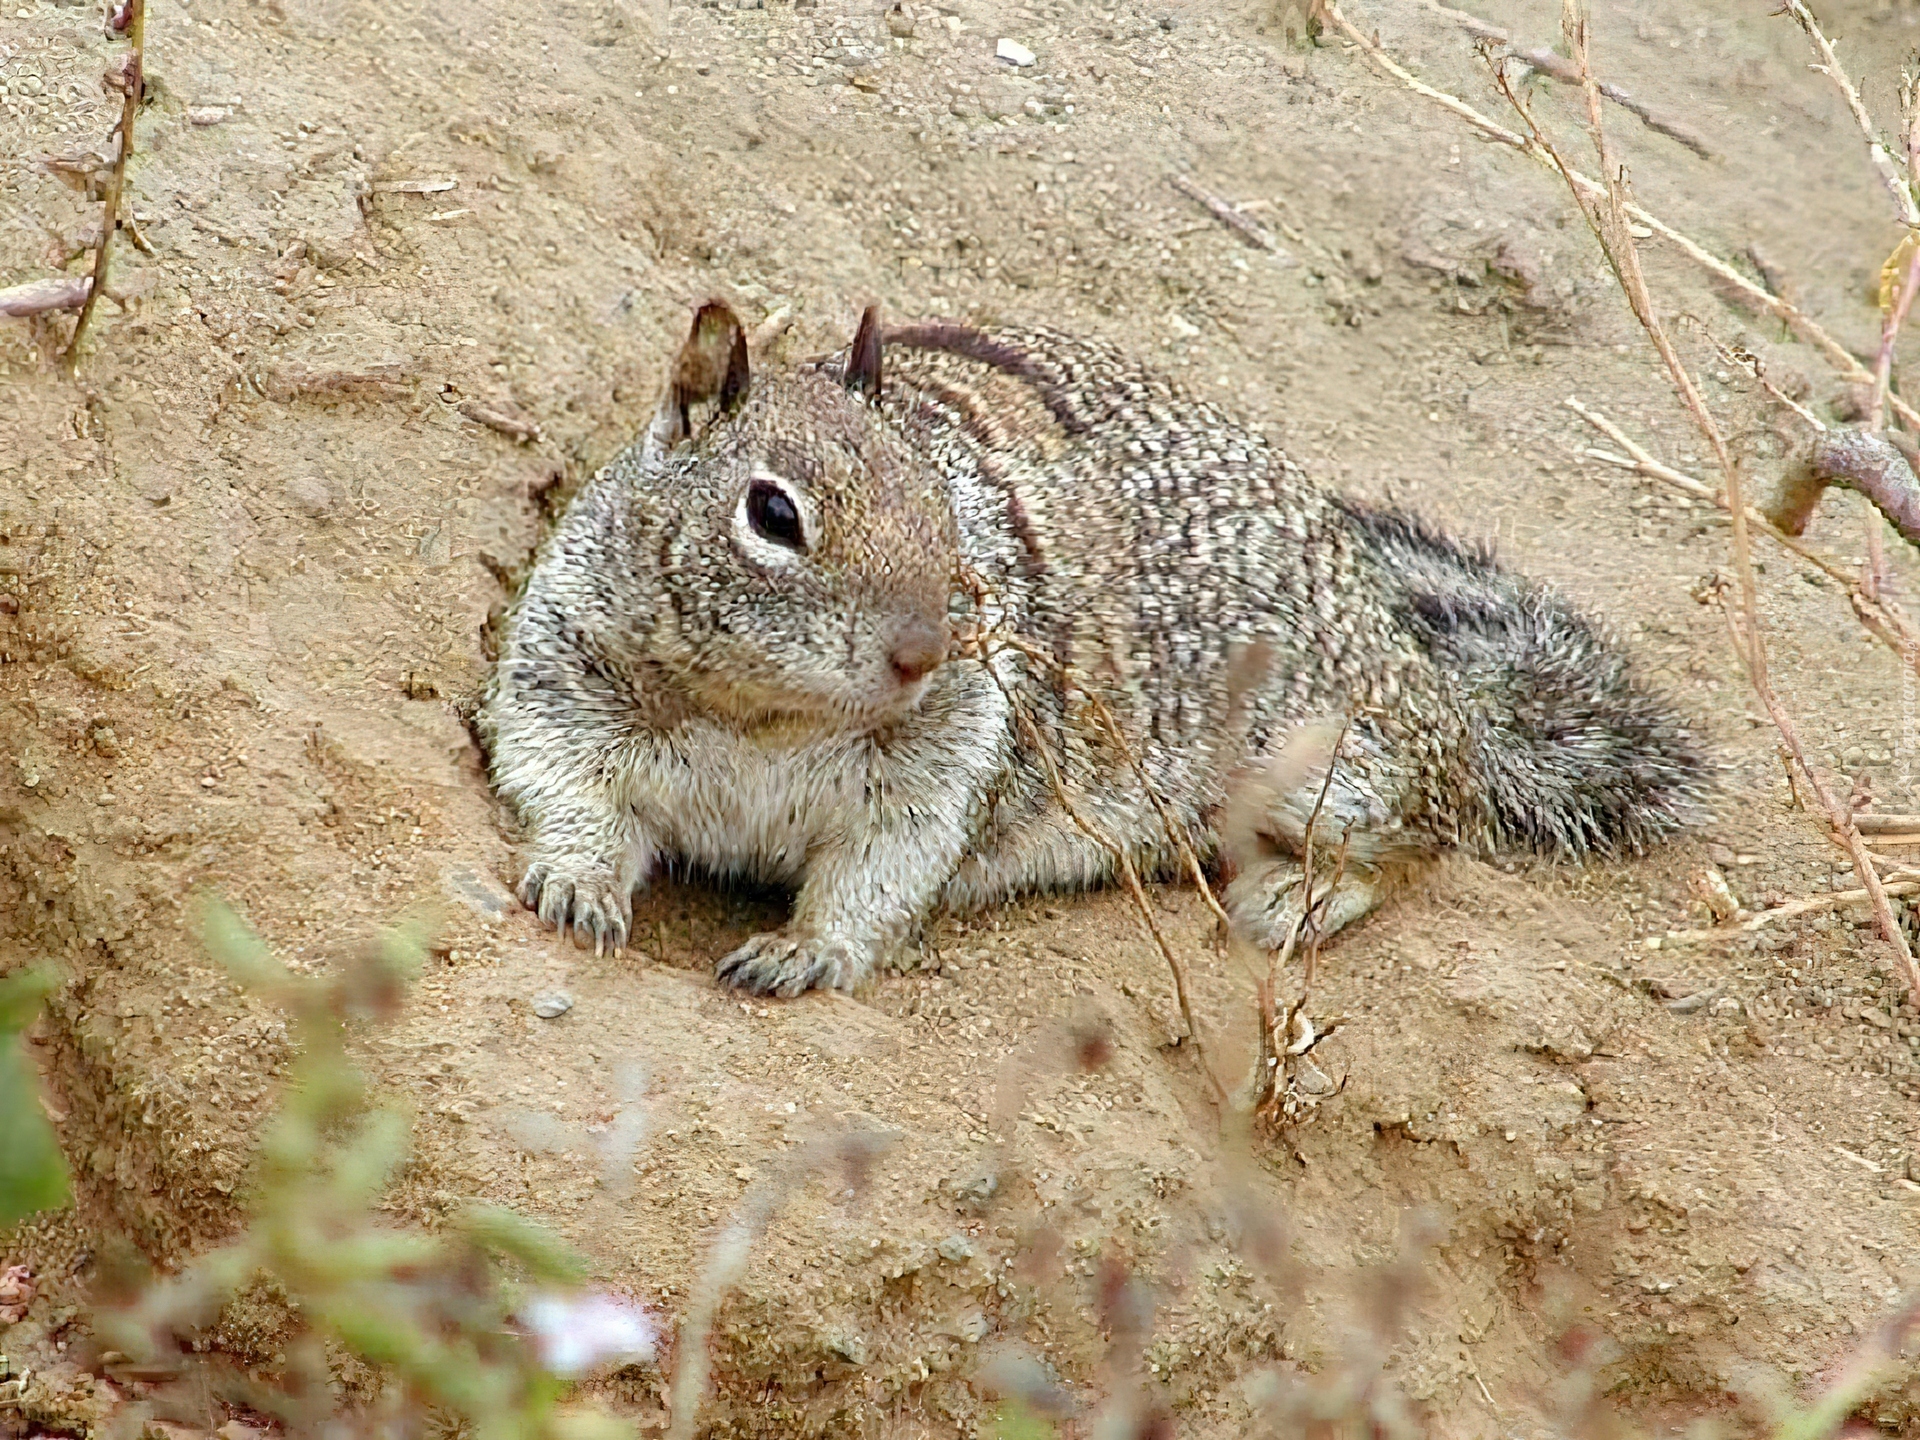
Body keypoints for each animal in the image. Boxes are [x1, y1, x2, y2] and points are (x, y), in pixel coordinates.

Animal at [483, 299, 1712, 998]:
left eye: (942, 501)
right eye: (773, 514)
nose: (926, 653)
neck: (767, 720)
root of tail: (1424, 671)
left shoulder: (940, 773)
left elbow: (879, 875)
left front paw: (807, 952)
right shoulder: (562, 682)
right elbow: (567, 793)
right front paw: (576, 886)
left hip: (1331, 768)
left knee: (1425, 838)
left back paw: (1292, 900)